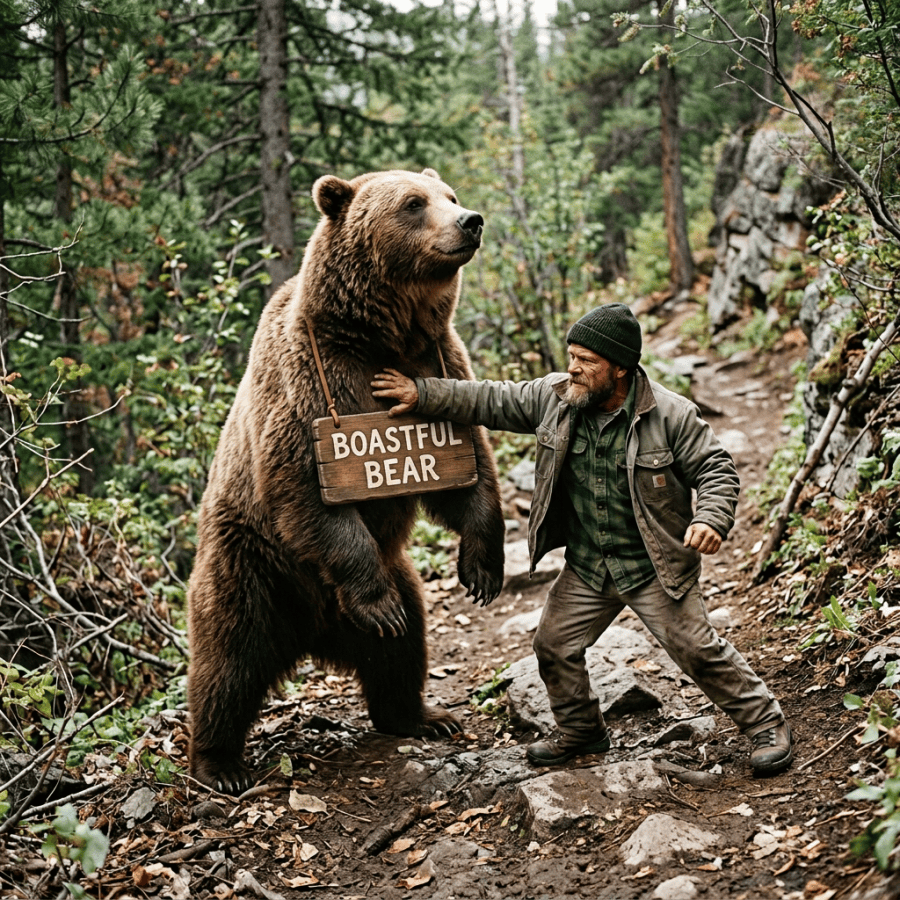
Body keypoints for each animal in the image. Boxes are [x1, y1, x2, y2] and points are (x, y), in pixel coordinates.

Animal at [187, 168, 506, 794]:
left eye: (450, 196)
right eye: (413, 203)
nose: (471, 220)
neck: (385, 337)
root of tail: (314, 634)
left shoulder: (440, 363)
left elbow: (467, 468)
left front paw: (481, 567)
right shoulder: (310, 383)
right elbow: (305, 489)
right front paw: (377, 603)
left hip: (396, 572)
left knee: (404, 647)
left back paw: (423, 715)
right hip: (251, 564)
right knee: (227, 659)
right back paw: (219, 763)